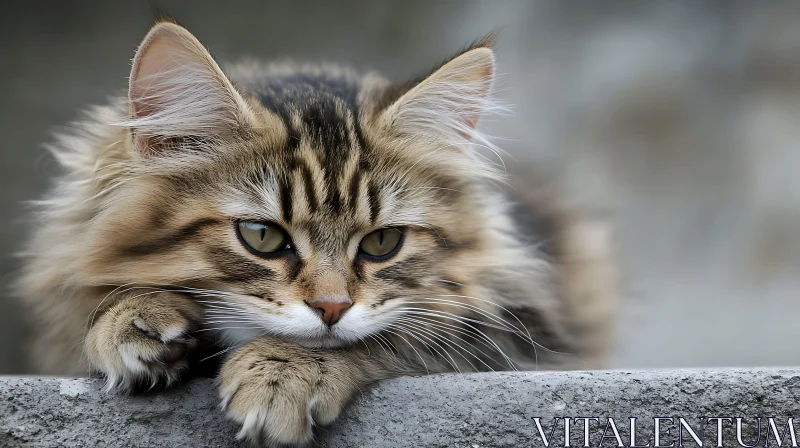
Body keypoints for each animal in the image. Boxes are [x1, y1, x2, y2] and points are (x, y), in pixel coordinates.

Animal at [14, 20, 620, 444]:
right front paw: (132, 319)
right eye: (260, 236)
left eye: (382, 243)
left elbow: (399, 335)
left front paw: (283, 374)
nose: (332, 308)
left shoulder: (527, 330)